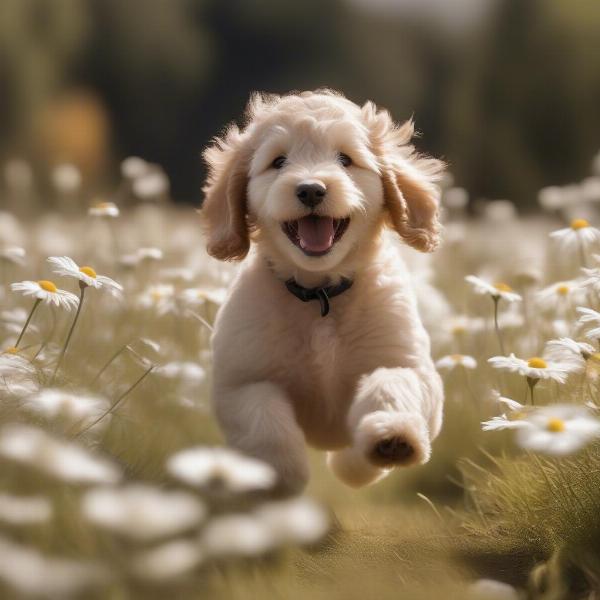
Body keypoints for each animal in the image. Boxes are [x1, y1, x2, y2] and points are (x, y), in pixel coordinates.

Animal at [200, 89, 440, 492]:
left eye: (345, 159)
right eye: (279, 161)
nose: (311, 189)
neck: (320, 296)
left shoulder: (411, 367)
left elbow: (390, 383)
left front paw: (391, 436)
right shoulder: (240, 383)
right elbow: (264, 418)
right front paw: (278, 474)